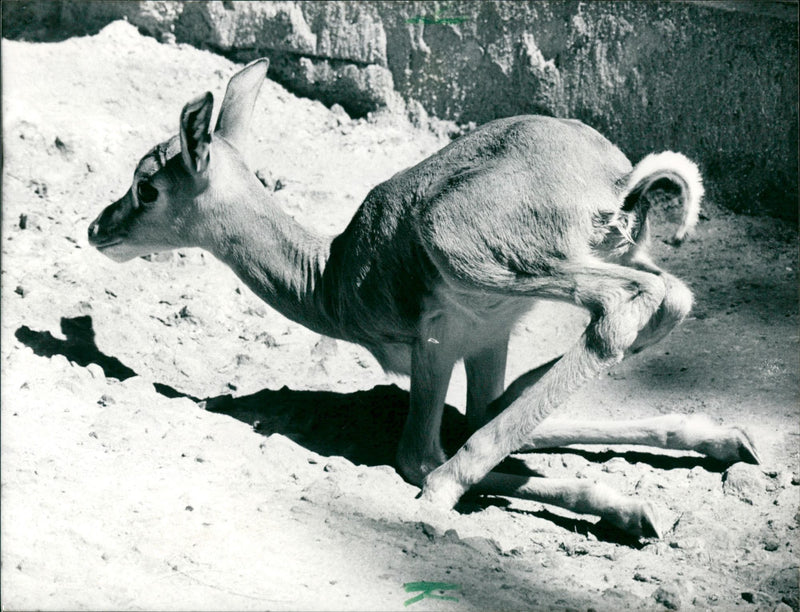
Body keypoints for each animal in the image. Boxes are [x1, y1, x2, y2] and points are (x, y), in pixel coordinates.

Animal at [88, 59, 759, 537]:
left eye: (146, 186)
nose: (97, 228)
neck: (332, 277)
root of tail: (616, 179)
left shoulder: (433, 345)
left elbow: (419, 456)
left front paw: (622, 505)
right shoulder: (489, 339)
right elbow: (498, 412)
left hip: (489, 256)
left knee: (626, 307)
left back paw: (445, 495)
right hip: (595, 260)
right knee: (670, 298)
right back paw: (723, 440)